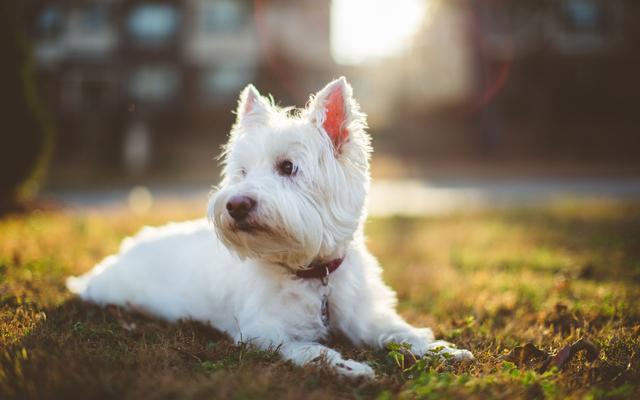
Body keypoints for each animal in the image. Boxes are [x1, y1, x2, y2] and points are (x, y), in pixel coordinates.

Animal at [67, 76, 472, 376]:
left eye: (288, 167)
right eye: (242, 172)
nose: (235, 204)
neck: (312, 273)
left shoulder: (365, 315)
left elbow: (399, 331)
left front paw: (441, 349)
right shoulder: (264, 332)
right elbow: (311, 349)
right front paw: (349, 367)